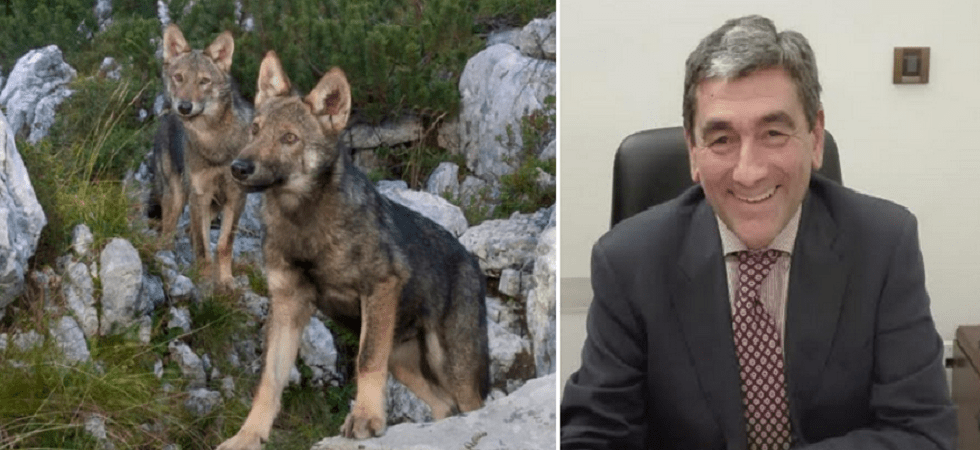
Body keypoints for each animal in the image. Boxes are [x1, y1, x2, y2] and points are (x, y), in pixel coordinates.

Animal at [157, 24, 252, 288]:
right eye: (179, 78)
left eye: (204, 82)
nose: (184, 107)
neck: (214, 144)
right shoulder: (199, 195)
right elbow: (202, 247)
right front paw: (205, 281)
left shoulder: (236, 198)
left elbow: (223, 245)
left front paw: (226, 281)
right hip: (178, 197)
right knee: (167, 232)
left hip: (211, 207)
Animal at [216, 51, 489, 449]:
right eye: (255, 129)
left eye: (289, 138)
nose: (239, 167)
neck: (304, 225)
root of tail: (470, 258)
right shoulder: (287, 304)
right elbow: (269, 381)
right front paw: (247, 437)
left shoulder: (379, 288)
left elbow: (365, 361)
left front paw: (365, 419)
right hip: (405, 361)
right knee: (445, 406)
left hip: (451, 364)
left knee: (468, 405)